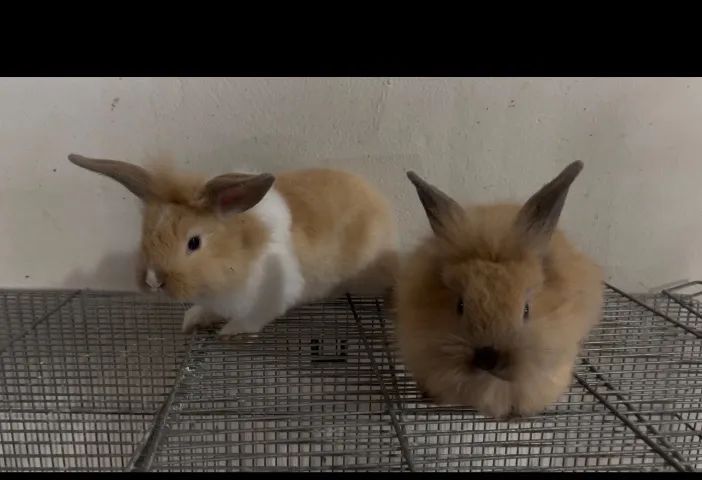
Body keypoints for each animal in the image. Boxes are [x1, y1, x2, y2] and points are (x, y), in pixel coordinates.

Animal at [68, 153, 398, 338]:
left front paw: (230, 332)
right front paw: (192, 321)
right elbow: (206, 310)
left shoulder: (271, 295)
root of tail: (381, 204)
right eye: (145, 234)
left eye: (194, 242)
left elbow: (253, 318)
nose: (152, 281)